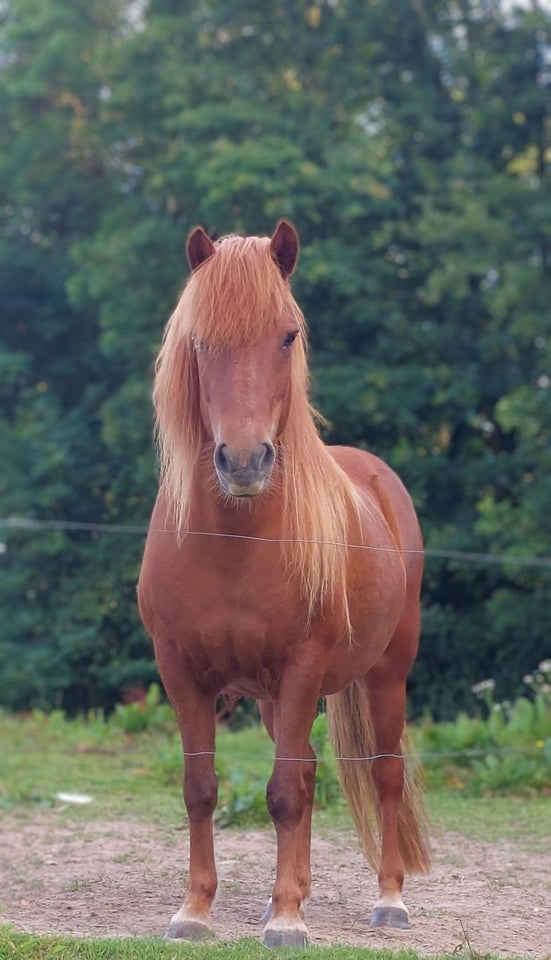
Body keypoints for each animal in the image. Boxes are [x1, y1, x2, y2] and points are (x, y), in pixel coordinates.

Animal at [139, 221, 432, 948]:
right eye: (199, 340)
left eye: (287, 335)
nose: (244, 461)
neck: (237, 542)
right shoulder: (180, 672)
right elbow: (202, 786)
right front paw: (195, 910)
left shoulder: (302, 668)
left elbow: (283, 794)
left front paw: (288, 921)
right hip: (277, 699)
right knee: (305, 768)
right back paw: (294, 890)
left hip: (386, 675)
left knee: (382, 774)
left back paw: (388, 900)